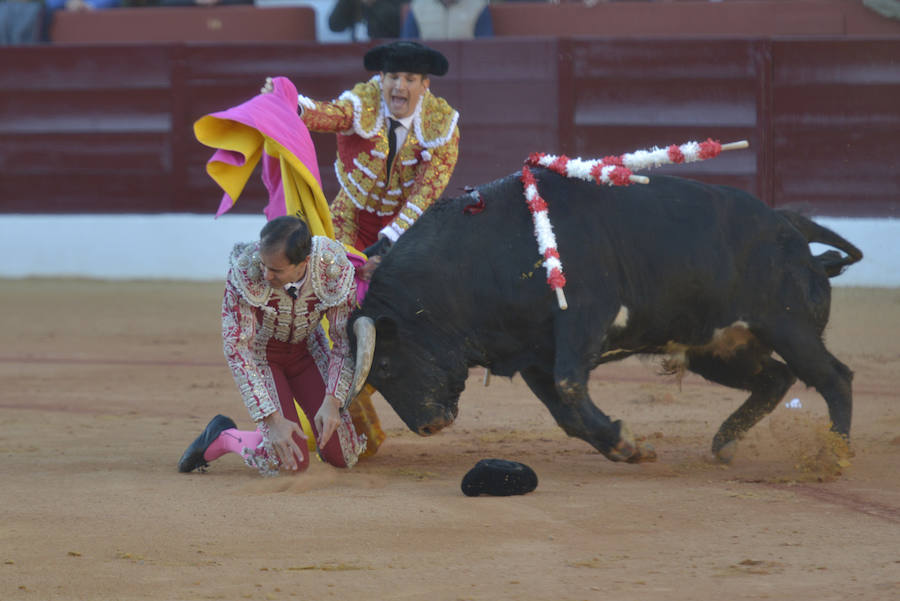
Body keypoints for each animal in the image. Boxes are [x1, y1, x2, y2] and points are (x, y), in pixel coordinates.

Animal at [348, 171, 860, 462]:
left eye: (387, 365)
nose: (428, 425)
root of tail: (789, 225)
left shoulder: (583, 318)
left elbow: (571, 386)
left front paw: (626, 442)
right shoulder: (533, 354)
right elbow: (565, 411)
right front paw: (625, 445)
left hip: (789, 326)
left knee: (834, 377)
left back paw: (831, 456)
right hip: (718, 348)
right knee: (776, 378)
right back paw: (725, 444)